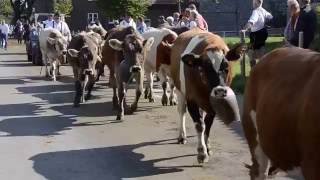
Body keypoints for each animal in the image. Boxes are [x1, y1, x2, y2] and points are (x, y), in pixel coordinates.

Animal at [170, 28, 242, 163]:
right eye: (205, 67)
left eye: (226, 67)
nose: (220, 91)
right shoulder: (191, 100)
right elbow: (199, 125)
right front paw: (201, 152)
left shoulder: (212, 104)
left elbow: (207, 125)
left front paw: (207, 147)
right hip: (179, 89)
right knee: (181, 111)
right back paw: (182, 136)